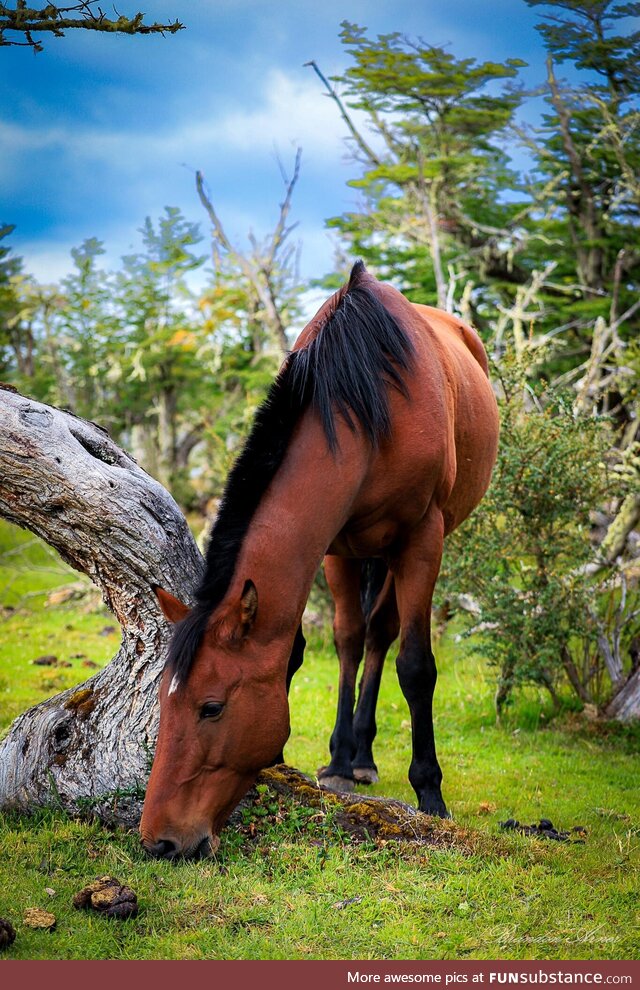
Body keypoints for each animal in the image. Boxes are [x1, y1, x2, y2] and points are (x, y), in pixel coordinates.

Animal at [140, 262, 500, 860]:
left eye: (211, 707)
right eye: (164, 706)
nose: (159, 841)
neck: (369, 409)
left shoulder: (422, 540)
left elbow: (416, 666)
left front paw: (429, 791)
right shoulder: (335, 547)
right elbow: (326, 646)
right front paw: (318, 759)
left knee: (384, 636)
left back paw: (368, 758)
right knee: (363, 637)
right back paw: (351, 755)